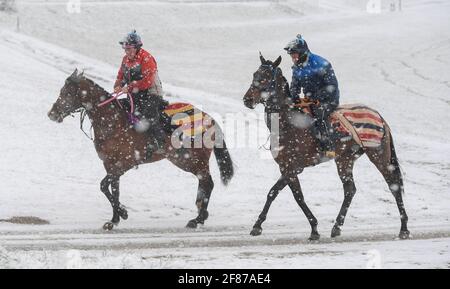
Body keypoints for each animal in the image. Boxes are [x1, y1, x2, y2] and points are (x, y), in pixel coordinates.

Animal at [47, 69, 234, 230]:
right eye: (62, 91)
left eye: (67, 93)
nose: (52, 114)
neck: (113, 122)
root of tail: (209, 119)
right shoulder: (110, 164)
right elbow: (114, 190)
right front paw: (114, 219)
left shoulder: (124, 163)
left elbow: (103, 186)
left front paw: (122, 213)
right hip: (184, 160)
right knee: (204, 183)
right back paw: (200, 213)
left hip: (194, 160)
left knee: (208, 182)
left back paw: (198, 219)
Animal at [244, 55, 410, 240]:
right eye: (255, 74)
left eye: (266, 77)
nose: (247, 100)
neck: (288, 123)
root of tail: (380, 117)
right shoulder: (286, 167)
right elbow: (281, 194)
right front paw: (258, 225)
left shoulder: (292, 168)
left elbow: (291, 195)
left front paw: (313, 228)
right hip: (345, 159)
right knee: (350, 190)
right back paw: (337, 226)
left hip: (378, 154)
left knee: (393, 185)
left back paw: (404, 228)